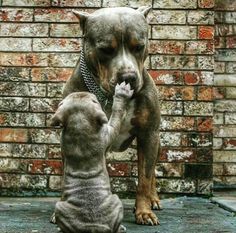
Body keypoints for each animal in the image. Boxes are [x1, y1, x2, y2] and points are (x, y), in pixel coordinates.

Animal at [50, 81, 134, 231]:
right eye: (95, 100)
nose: (82, 91)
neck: (80, 126)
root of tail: (92, 226)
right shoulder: (109, 131)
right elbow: (116, 114)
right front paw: (121, 94)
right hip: (116, 200)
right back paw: (121, 228)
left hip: (61, 207)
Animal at [62, 5, 161, 226]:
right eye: (106, 49)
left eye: (139, 46)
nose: (128, 77)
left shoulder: (148, 134)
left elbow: (144, 178)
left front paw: (144, 211)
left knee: (151, 171)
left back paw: (153, 199)